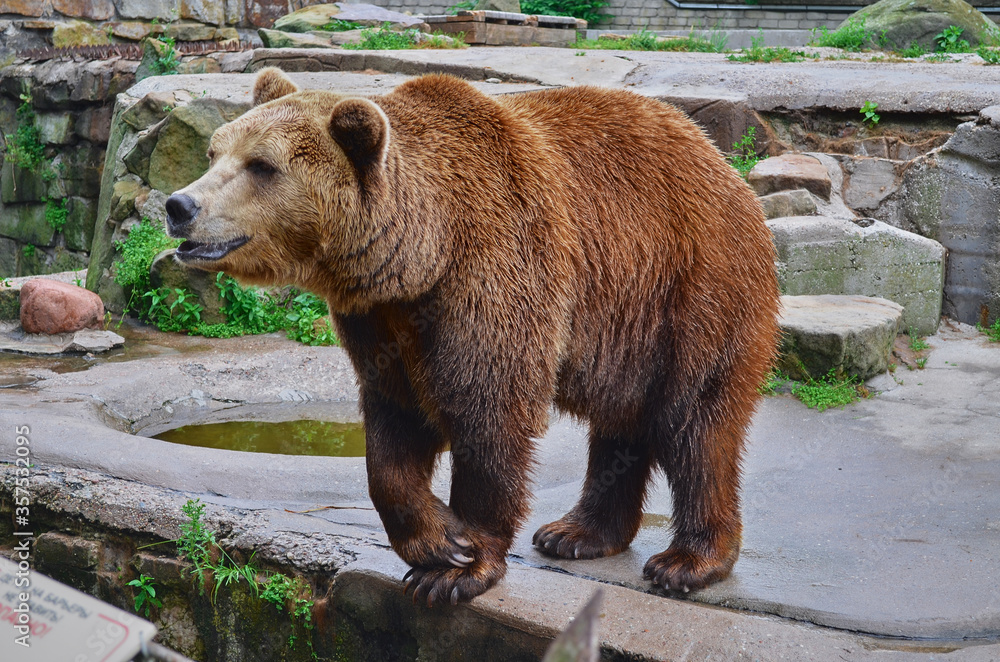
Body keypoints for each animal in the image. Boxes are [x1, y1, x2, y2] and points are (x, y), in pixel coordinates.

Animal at [165, 67, 780, 606]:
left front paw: (460, 564)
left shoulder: (496, 268)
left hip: (692, 288)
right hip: (628, 324)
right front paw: (436, 542)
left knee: (696, 422)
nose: (179, 205)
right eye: (214, 152)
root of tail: (724, 164)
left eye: (261, 164)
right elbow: (393, 422)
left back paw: (687, 561)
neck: (420, 255)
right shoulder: (380, 318)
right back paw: (575, 533)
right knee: (621, 421)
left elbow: (489, 409)